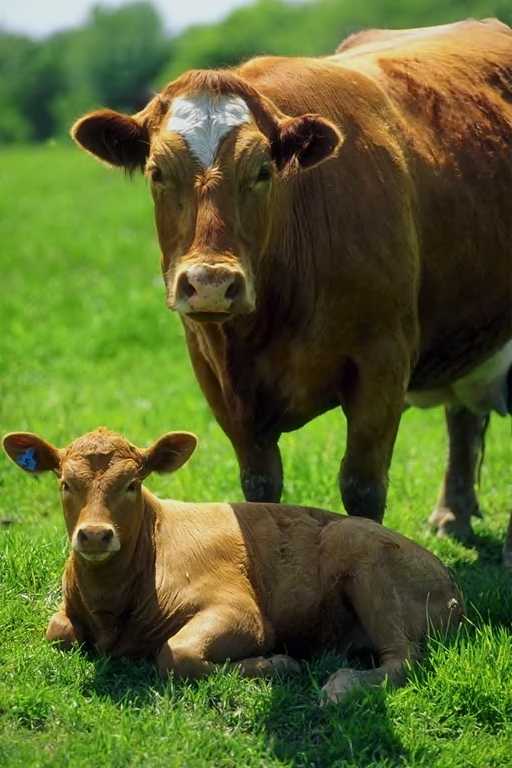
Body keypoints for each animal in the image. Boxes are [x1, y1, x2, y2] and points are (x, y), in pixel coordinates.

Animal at [1, 426, 464, 704]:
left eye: (132, 484)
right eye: (65, 483)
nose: (95, 535)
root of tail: (449, 580)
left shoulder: (242, 610)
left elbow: (176, 655)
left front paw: (277, 665)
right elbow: (58, 631)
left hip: (360, 548)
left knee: (404, 657)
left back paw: (341, 684)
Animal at [71, 19, 512, 560]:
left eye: (263, 171)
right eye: (157, 172)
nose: (212, 283)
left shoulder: (382, 363)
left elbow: (362, 488)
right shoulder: (219, 380)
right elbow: (261, 486)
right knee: (463, 417)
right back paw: (454, 515)